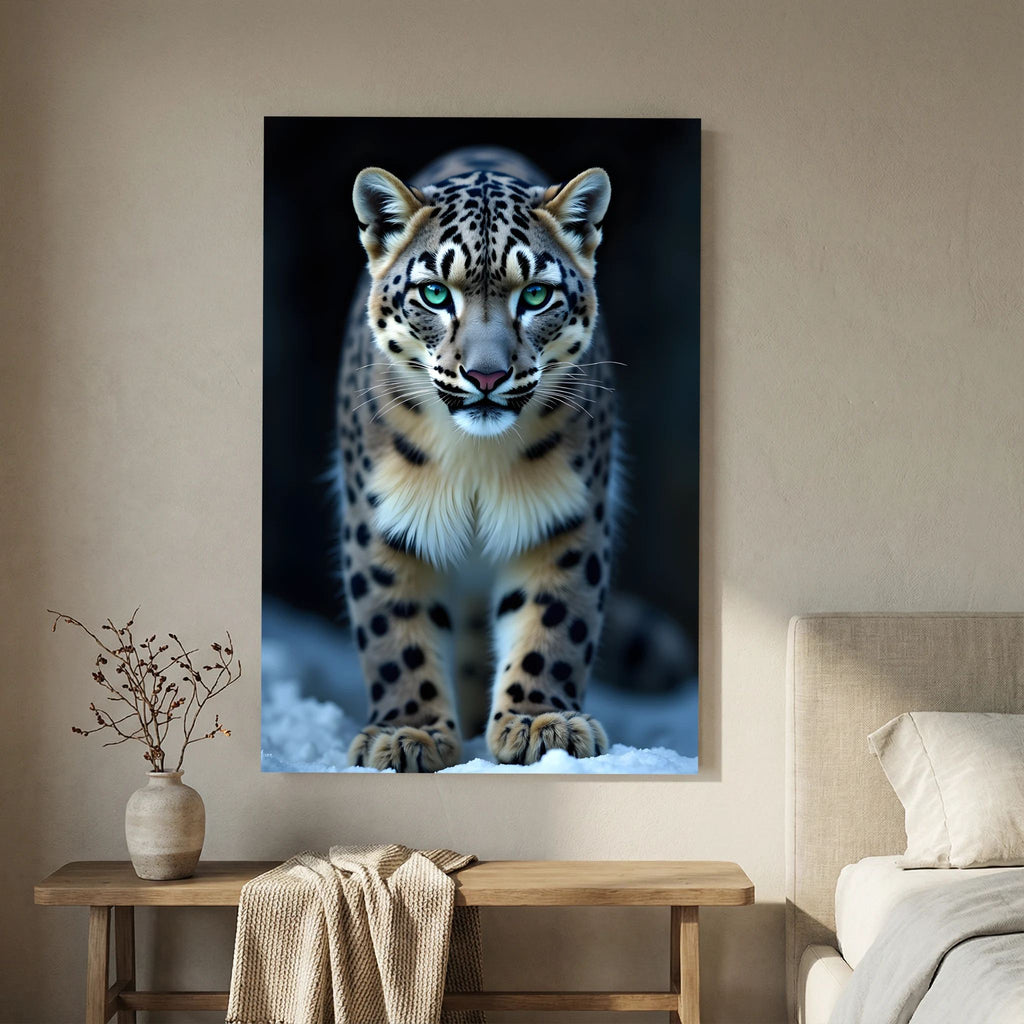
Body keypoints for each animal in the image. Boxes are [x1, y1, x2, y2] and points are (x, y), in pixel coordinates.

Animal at [335, 146, 618, 772]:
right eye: (436, 293)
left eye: (534, 294)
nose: (486, 376)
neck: (475, 460)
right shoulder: (382, 521)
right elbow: (395, 630)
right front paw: (408, 733)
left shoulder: (565, 516)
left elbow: (553, 619)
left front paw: (541, 723)